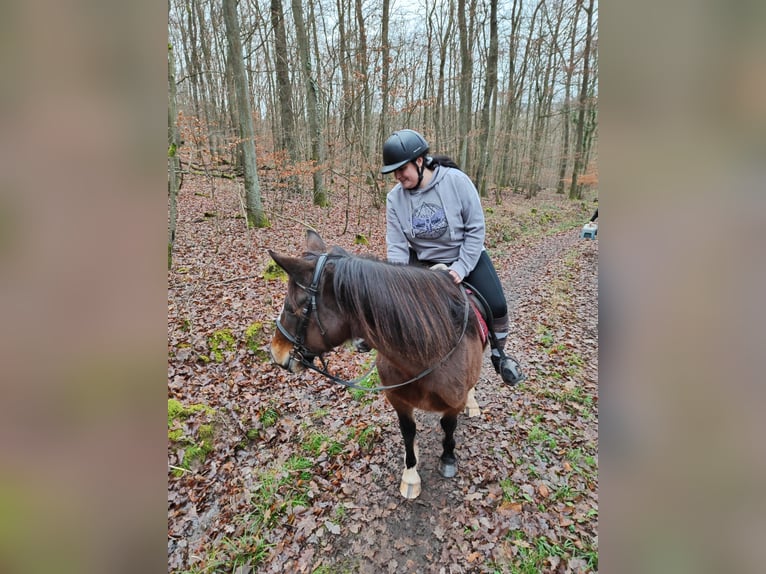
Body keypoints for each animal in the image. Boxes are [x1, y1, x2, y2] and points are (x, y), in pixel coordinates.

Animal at [268, 230, 487, 499]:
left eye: (291, 308)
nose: (276, 352)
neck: (427, 356)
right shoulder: (398, 400)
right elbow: (408, 431)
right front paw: (411, 474)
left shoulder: (452, 404)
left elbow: (448, 427)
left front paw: (447, 458)